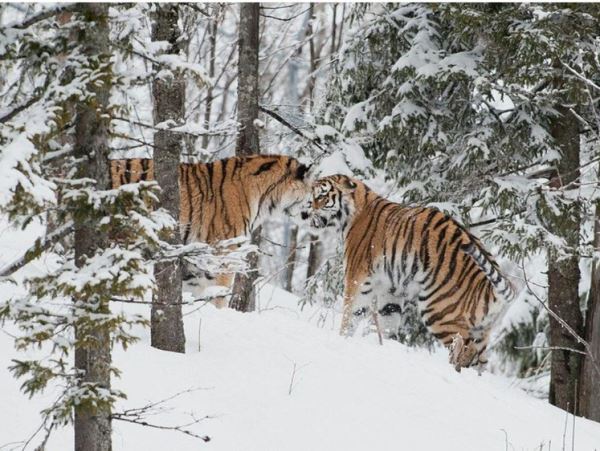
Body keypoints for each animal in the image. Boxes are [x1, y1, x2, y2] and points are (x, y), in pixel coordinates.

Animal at [310, 173, 516, 370]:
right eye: (312, 196)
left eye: (321, 196)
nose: (307, 211)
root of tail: (488, 287)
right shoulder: (390, 289)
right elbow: (387, 320)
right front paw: (380, 345)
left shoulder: (356, 278)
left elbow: (350, 313)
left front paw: (342, 338)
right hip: (482, 329)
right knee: (480, 361)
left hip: (439, 311)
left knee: (463, 347)